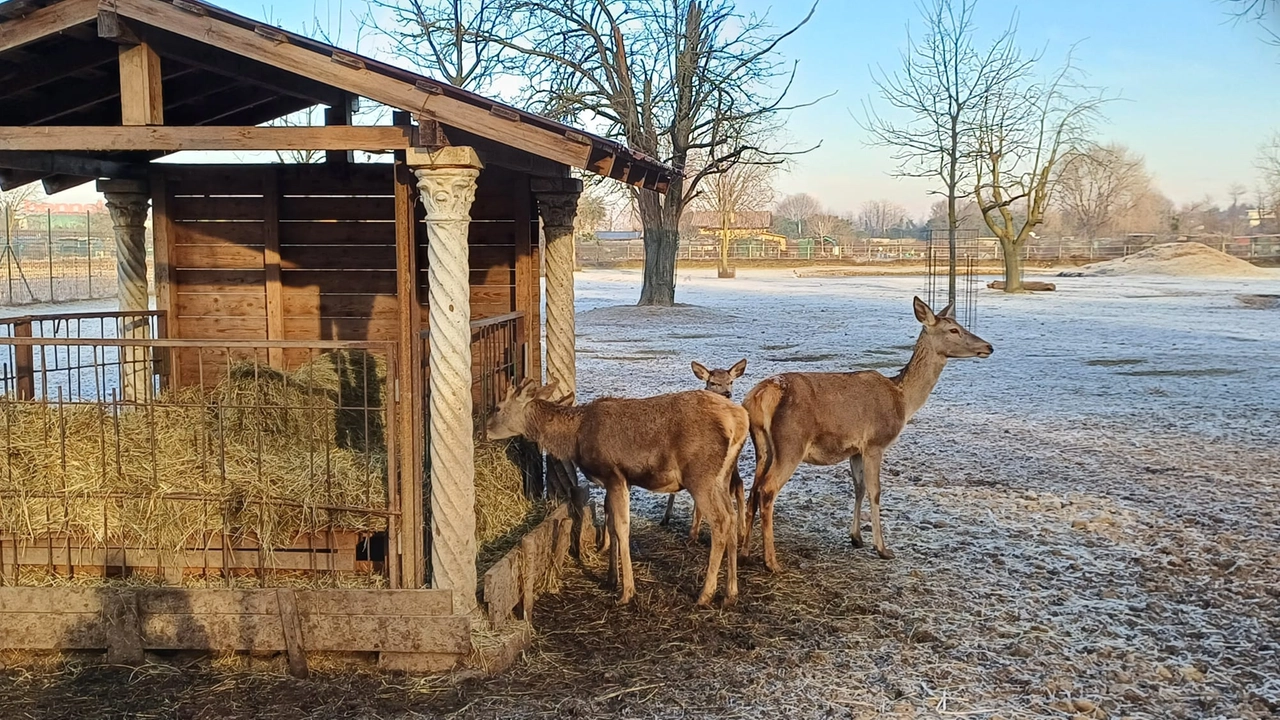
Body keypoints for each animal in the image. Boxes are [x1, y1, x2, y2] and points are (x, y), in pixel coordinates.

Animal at [488, 379, 747, 602]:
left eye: (498, 407)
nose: (485, 429)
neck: (575, 437)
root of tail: (740, 421)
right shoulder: (619, 481)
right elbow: (611, 525)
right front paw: (611, 578)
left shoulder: (614, 475)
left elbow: (622, 528)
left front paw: (627, 591)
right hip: (722, 477)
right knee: (732, 515)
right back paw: (731, 593)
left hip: (701, 475)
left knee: (721, 521)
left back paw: (706, 594)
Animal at [660, 358, 747, 532]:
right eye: (713, 382)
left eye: (731, 381)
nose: (727, 393)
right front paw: (666, 517)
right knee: (737, 484)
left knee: (738, 485)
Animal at [742, 294, 998, 568]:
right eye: (953, 329)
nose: (989, 347)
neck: (903, 400)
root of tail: (760, 396)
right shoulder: (876, 442)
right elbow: (876, 491)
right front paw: (882, 548)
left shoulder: (855, 449)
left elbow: (859, 487)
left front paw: (856, 538)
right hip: (791, 443)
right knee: (767, 490)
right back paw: (772, 562)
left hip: (763, 447)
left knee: (753, 489)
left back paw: (745, 550)